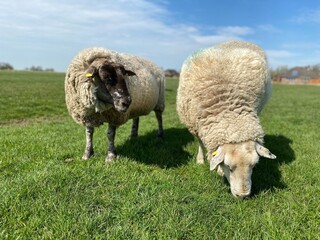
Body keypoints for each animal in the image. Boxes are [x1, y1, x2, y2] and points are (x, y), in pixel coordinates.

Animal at [176, 39, 276, 199]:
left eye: (254, 166)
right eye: (229, 166)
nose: (243, 196)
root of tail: (236, 40)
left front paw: (218, 170)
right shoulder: (194, 123)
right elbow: (199, 142)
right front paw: (201, 160)